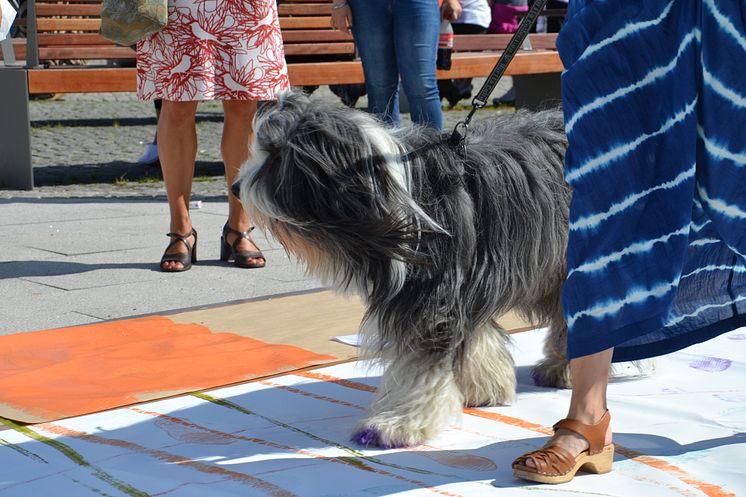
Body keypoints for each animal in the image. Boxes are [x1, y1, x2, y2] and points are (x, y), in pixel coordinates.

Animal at [232, 91, 568, 448]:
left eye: (276, 154)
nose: (235, 188)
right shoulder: (468, 279)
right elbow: (477, 337)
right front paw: (486, 386)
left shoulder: (435, 293)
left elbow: (420, 366)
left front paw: (395, 425)